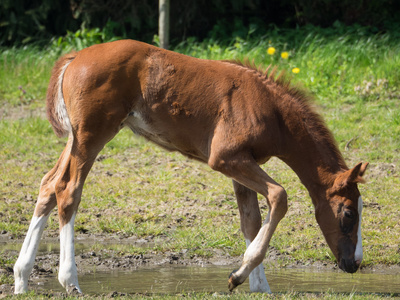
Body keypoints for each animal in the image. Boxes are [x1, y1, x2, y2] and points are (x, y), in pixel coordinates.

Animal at [13, 39, 368, 292]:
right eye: (349, 213)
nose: (355, 263)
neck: (272, 112)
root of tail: (75, 58)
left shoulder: (241, 165)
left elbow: (251, 223)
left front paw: (258, 286)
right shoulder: (225, 158)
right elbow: (279, 196)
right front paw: (238, 276)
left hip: (76, 137)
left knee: (48, 185)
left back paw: (21, 278)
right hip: (93, 133)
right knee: (68, 189)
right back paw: (70, 281)